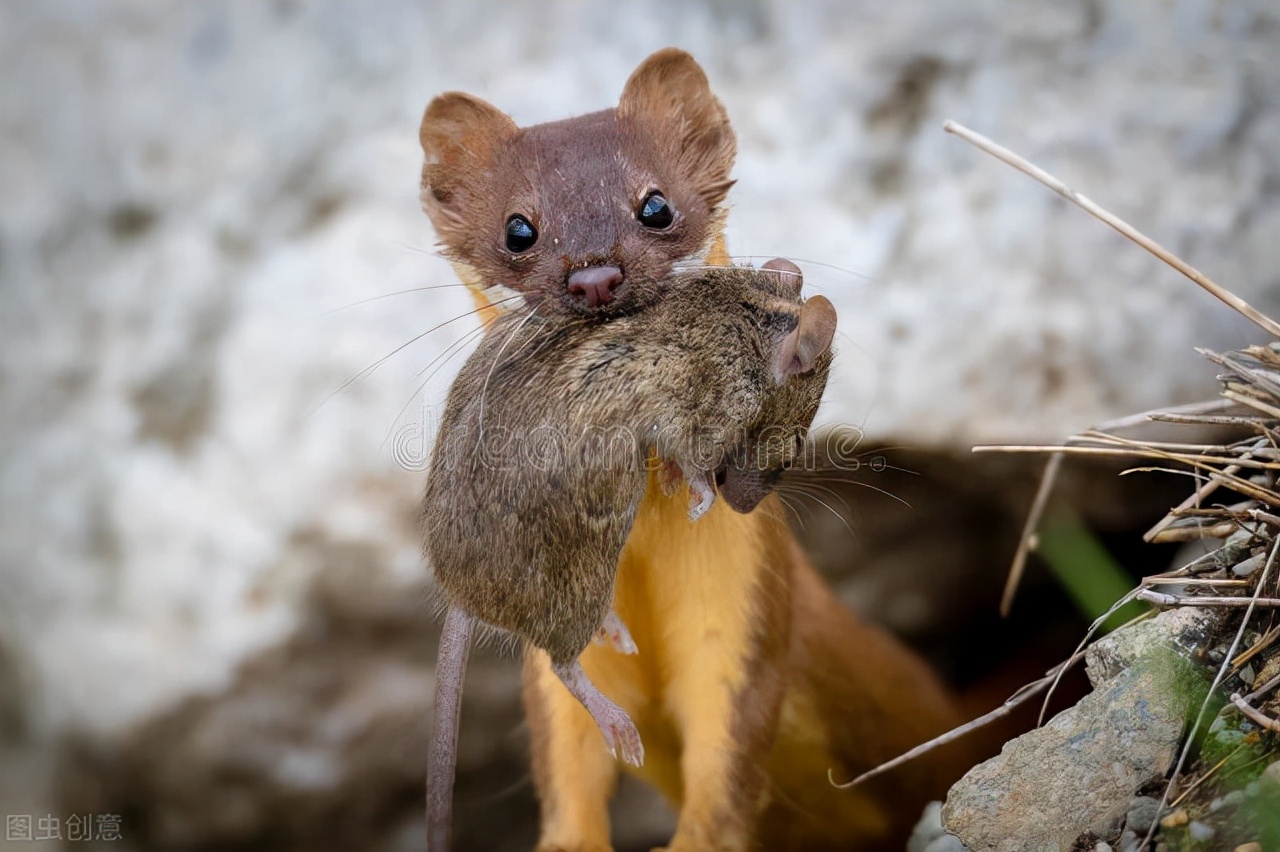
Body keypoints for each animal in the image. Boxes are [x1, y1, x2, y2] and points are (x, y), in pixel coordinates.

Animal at [424, 262, 834, 844]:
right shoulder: (700, 410)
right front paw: (701, 498)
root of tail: (462, 597)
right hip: (582, 568)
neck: (756, 314)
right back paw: (617, 723)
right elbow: (693, 461)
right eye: (798, 443)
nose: (745, 508)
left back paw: (614, 630)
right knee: (563, 665)